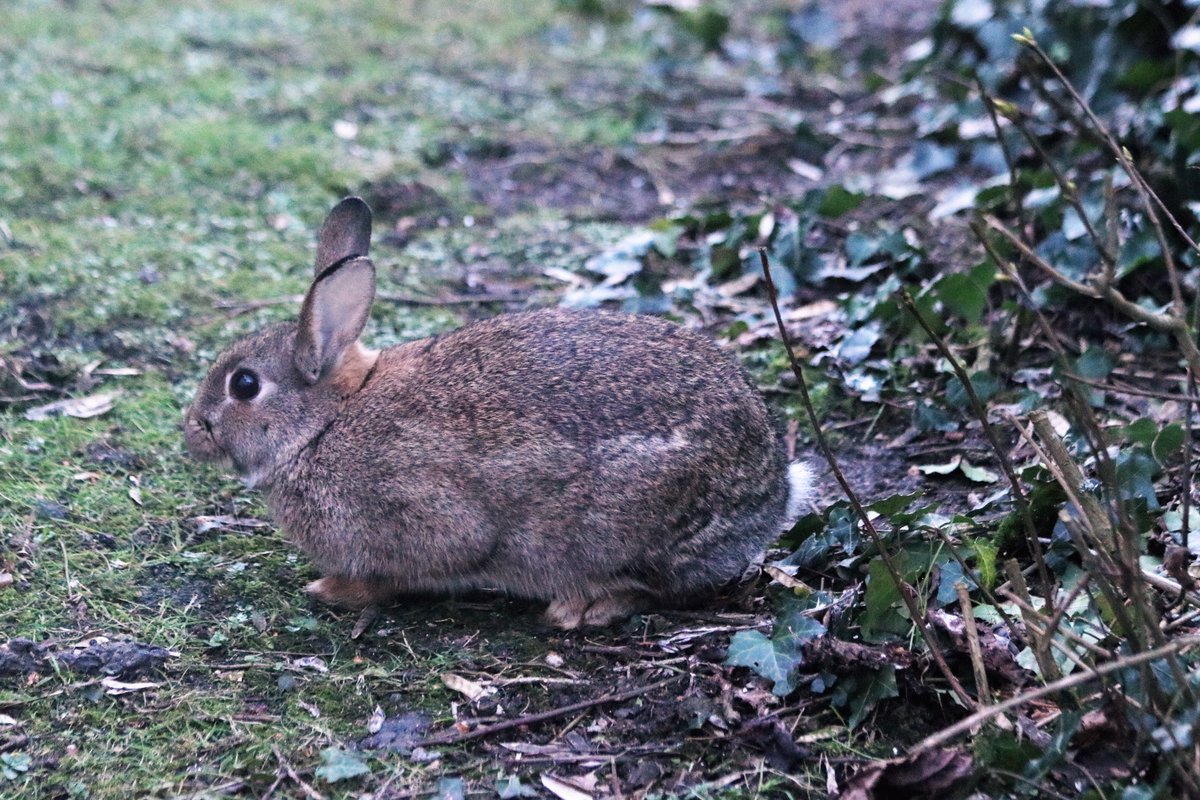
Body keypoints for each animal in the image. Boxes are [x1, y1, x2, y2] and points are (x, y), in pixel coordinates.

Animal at [184, 197, 812, 629]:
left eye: (244, 385)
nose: (192, 432)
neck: (323, 424)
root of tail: (776, 489)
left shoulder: (425, 517)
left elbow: (406, 572)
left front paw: (331, 590)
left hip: (630, 524)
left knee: (660, 587)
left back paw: (581, 609)